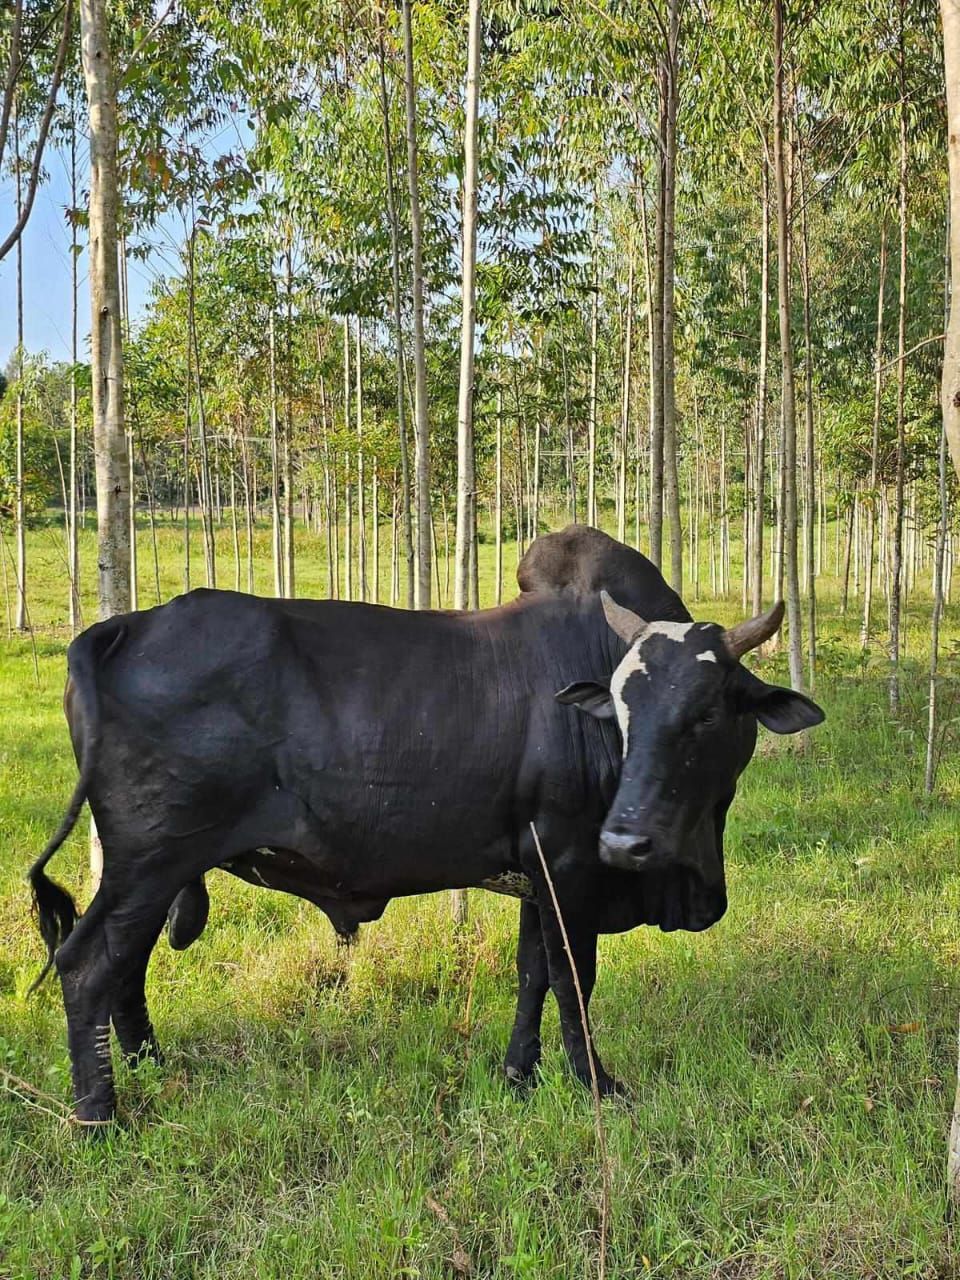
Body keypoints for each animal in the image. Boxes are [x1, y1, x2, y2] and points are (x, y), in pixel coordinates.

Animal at [28, 525, 823, 1127]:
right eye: (626, 711)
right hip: (150, 857)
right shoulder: (570, 862)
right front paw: (599, 1084)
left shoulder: (537, 868)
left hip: (154, 868)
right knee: (89, 964)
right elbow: (574, 978)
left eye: (708, 710)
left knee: (125, 966)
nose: (625, 841)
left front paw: (518, 1075)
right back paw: (101, 1114)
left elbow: (533, 973)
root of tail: (122, 626)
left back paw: (155, 1070)